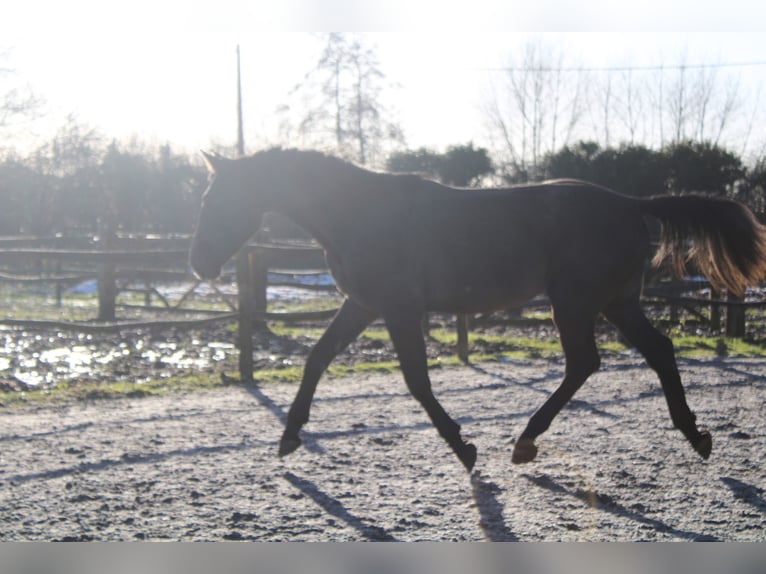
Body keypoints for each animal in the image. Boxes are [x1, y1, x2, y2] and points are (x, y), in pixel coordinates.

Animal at [189, 147, 766, 472]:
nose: (199, 264)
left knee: (585, 362)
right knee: (658, 351)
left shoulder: (400, 308)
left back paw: (526, 442)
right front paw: (289, 436)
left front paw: (464, 448)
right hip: (616, 303)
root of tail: (630, 203)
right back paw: (696, 436)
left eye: (217, 201)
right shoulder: (363, 304)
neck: (360, 212)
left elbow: (417, 381)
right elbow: (317, 358)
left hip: (575, 303)